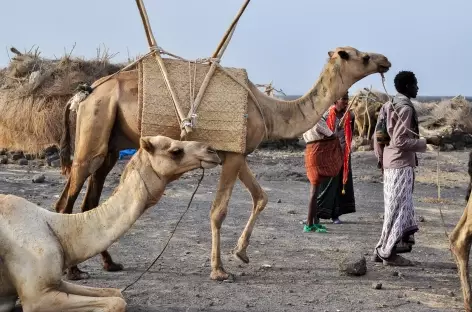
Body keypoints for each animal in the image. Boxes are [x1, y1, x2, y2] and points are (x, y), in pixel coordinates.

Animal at [0, 136, 221, 312]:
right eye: (175, 151)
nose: (213, 151)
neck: (59, 230)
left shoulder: (56, 283)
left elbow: (116, 293)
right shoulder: (36, 296)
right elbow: (116, 303)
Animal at [57, 45, 392, 280]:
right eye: (363, 56)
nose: (385, 60)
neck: (269, 110)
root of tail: (83, 94)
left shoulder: (237, 153)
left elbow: (261, 196)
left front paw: (241, 253)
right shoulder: (232, 156)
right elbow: (219, 211)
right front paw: (219, 271)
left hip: (110, 145)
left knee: (91, 200)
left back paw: (110, 263)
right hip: (94, 130)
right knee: (67, 200)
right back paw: (73, 271)